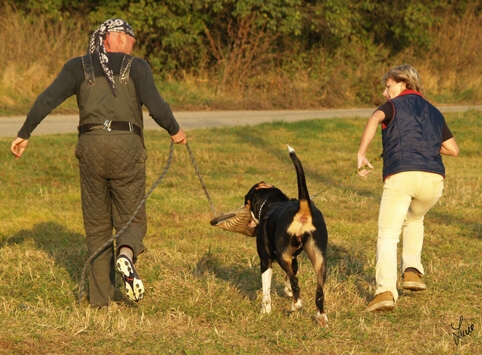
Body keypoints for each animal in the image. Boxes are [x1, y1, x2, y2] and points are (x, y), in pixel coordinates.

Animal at [245, 147, 328, 328]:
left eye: (246, 202)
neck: (271, 204)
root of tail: (302, 210)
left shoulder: (266, 260)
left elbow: (267, 290)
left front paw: (265, 311)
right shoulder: (294, 259)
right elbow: (288, 277)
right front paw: (287, 291)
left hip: (283, 255)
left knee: (297, 283)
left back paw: (296, 304)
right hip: (319, 259)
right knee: (319, 291)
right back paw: (321, 317)